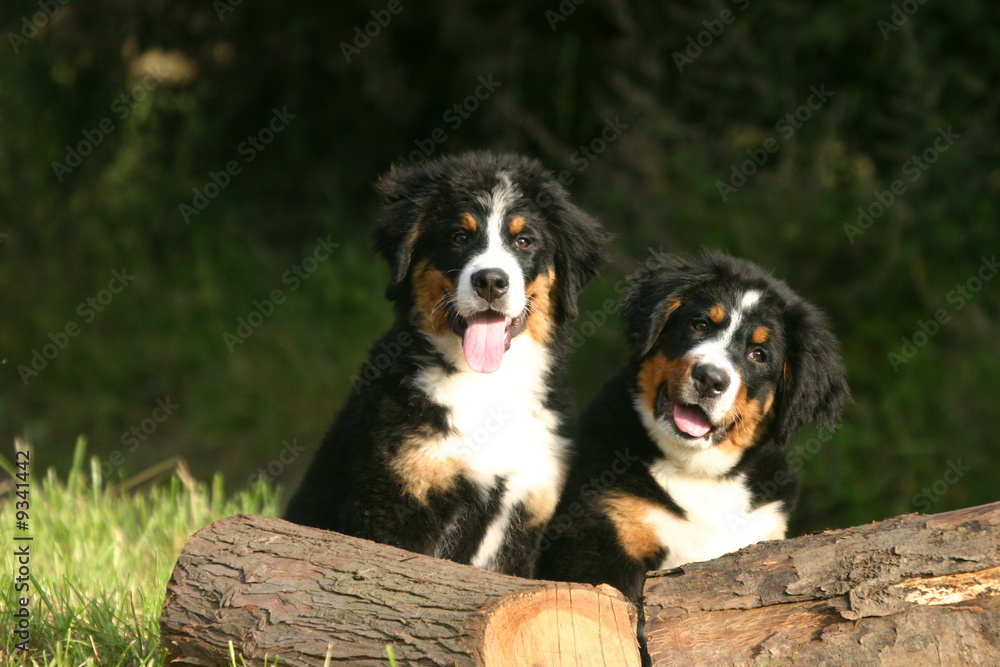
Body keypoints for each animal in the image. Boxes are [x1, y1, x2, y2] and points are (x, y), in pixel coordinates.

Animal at [284, 151, 608, 580]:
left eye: (523, 241)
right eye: (459, 237)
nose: (491, 281)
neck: (487, 384)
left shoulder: (528, 513)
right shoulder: (397, 500)